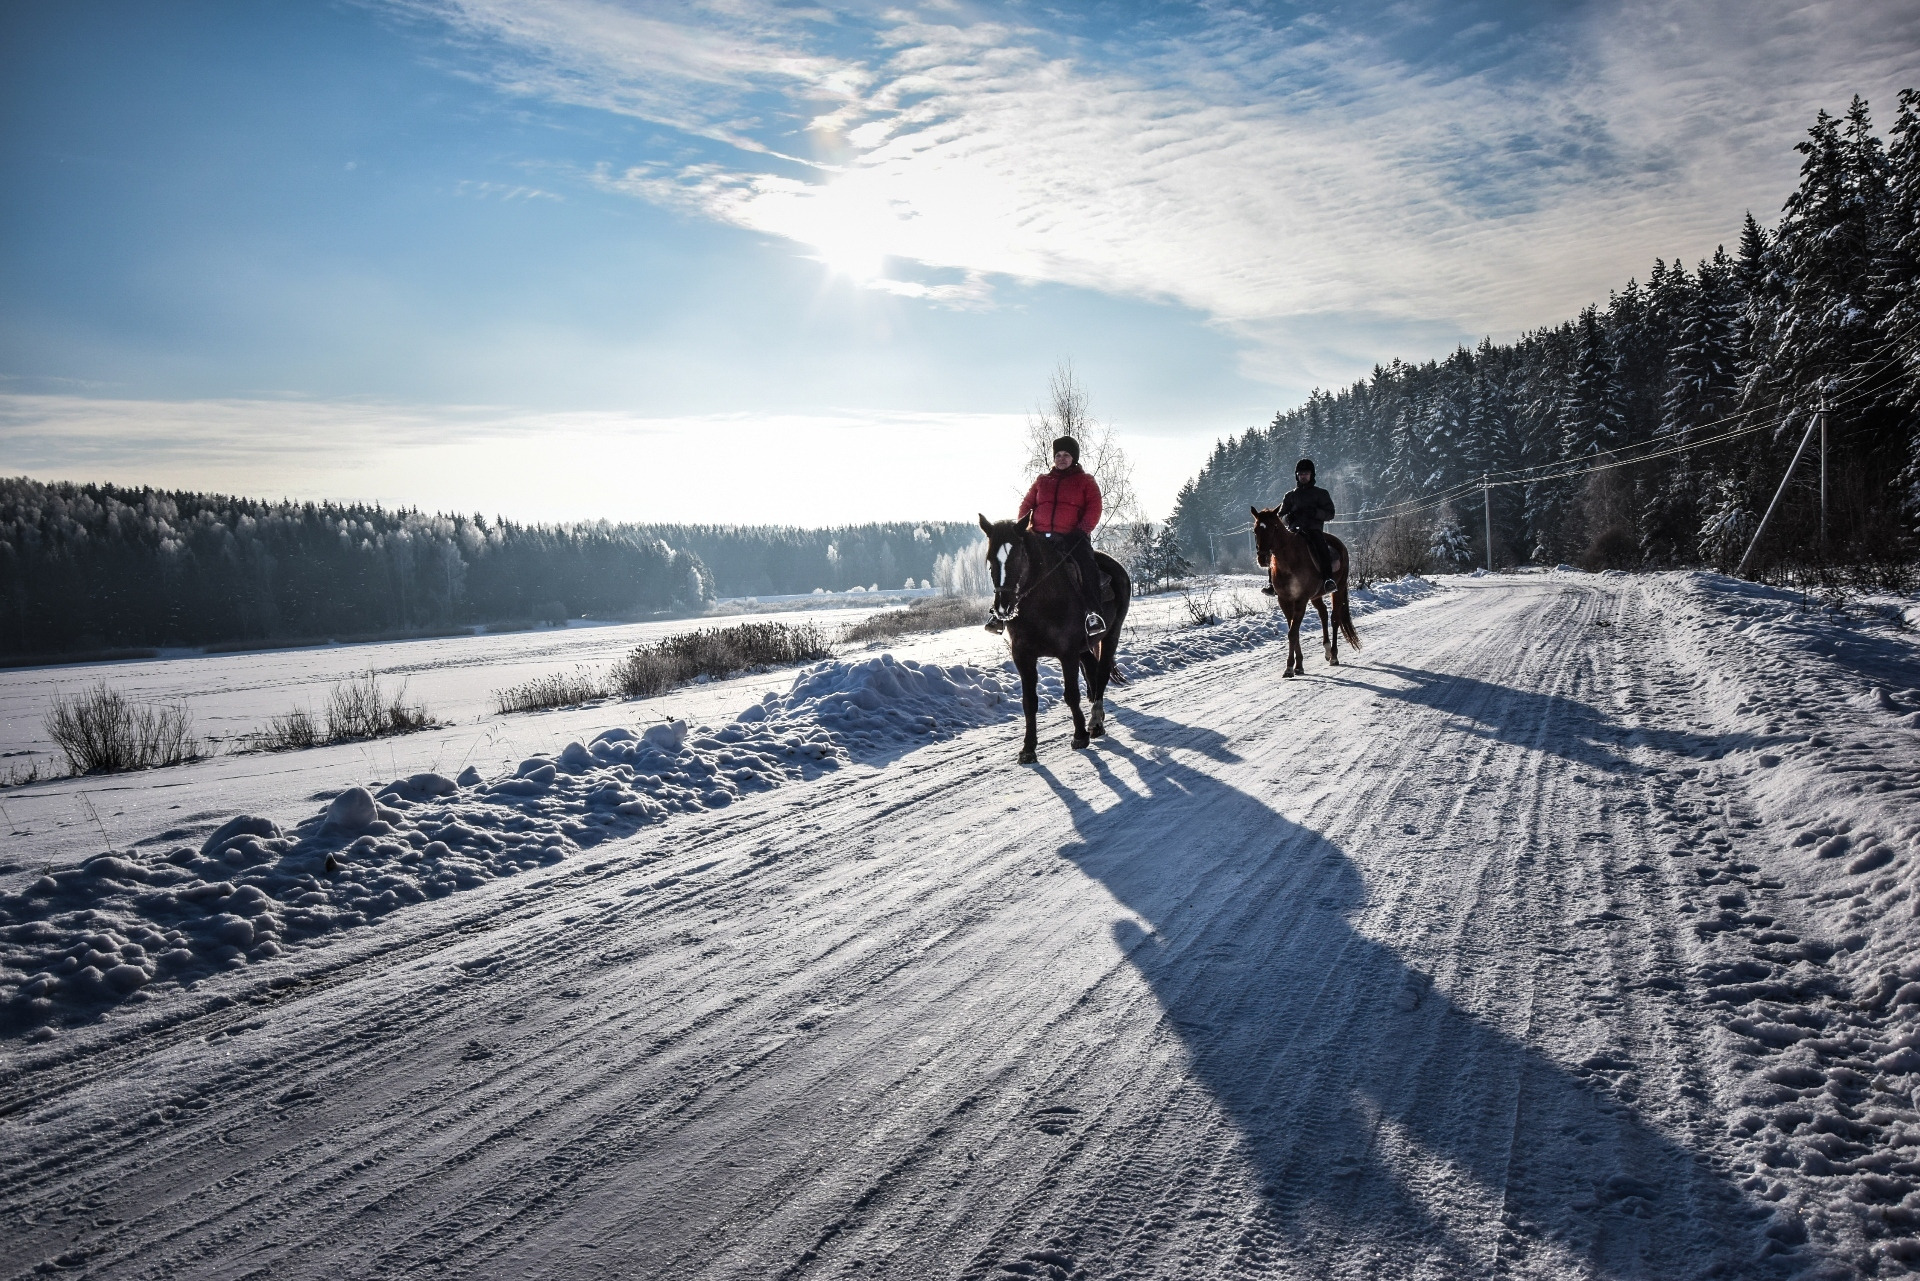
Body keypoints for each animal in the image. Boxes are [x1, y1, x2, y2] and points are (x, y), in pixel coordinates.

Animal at [983, 514, 1128, 768]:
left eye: (1018, 556)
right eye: (990, 559)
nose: (1003, 606)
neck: (1041, 601)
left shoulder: (1067, 653)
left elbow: (1071, 695)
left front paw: (1080, 735)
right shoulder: (1023, 656)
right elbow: (1029, 702)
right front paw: (1028, 749)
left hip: (1111, 634)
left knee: (1101, 674)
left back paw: (1095, 722)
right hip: (1085, 648)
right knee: (1091, 669)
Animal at [1251, 503, 1359, 676]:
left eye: (1274, 527)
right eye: (1255, 530)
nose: (1263, 558)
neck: (1288, 561)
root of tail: (1339, 544)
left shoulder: (1301, 599)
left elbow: (1293, 632)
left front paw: (1290, 667)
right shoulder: (1285, 600)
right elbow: (1293, 631)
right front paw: (1297, 665)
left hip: (1339, 589)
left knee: (1334, 618)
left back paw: (1334, 656)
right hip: (1316, 596)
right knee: (1323, 613)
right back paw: (1327, 650)